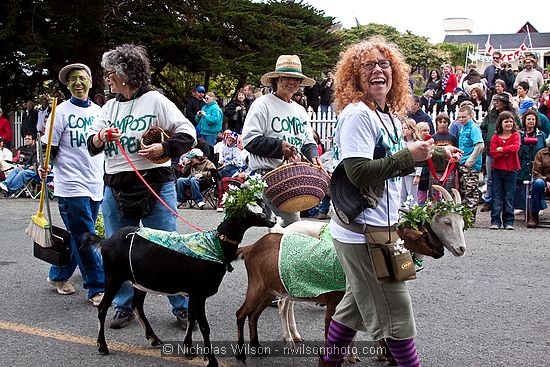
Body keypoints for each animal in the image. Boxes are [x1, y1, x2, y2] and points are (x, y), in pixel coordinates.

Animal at [84, 200, 278, 367]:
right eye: (255, 207)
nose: (275, 219)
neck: (214, 245)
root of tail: (105, 241)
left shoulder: (193, 293)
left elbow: (191, 319)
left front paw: (189, 349)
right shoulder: (199, 293)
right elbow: (204, 327)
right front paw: (211, 360)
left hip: (139, 281)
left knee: (137, 305)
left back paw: (153, 338)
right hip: (113, 277)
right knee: (103, 308)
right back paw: (102, 346)